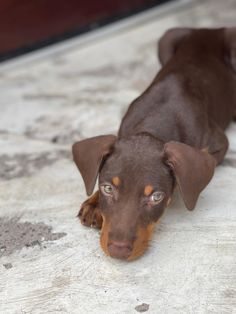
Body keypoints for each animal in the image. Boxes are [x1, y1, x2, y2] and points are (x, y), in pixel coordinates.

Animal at [71, 28, 236, 262]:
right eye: (107, 188)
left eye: (156, 196)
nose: (118, 250)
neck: (157, 119)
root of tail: (211, 29)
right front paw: (94, 203)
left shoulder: (218, 143)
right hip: (165, 40)